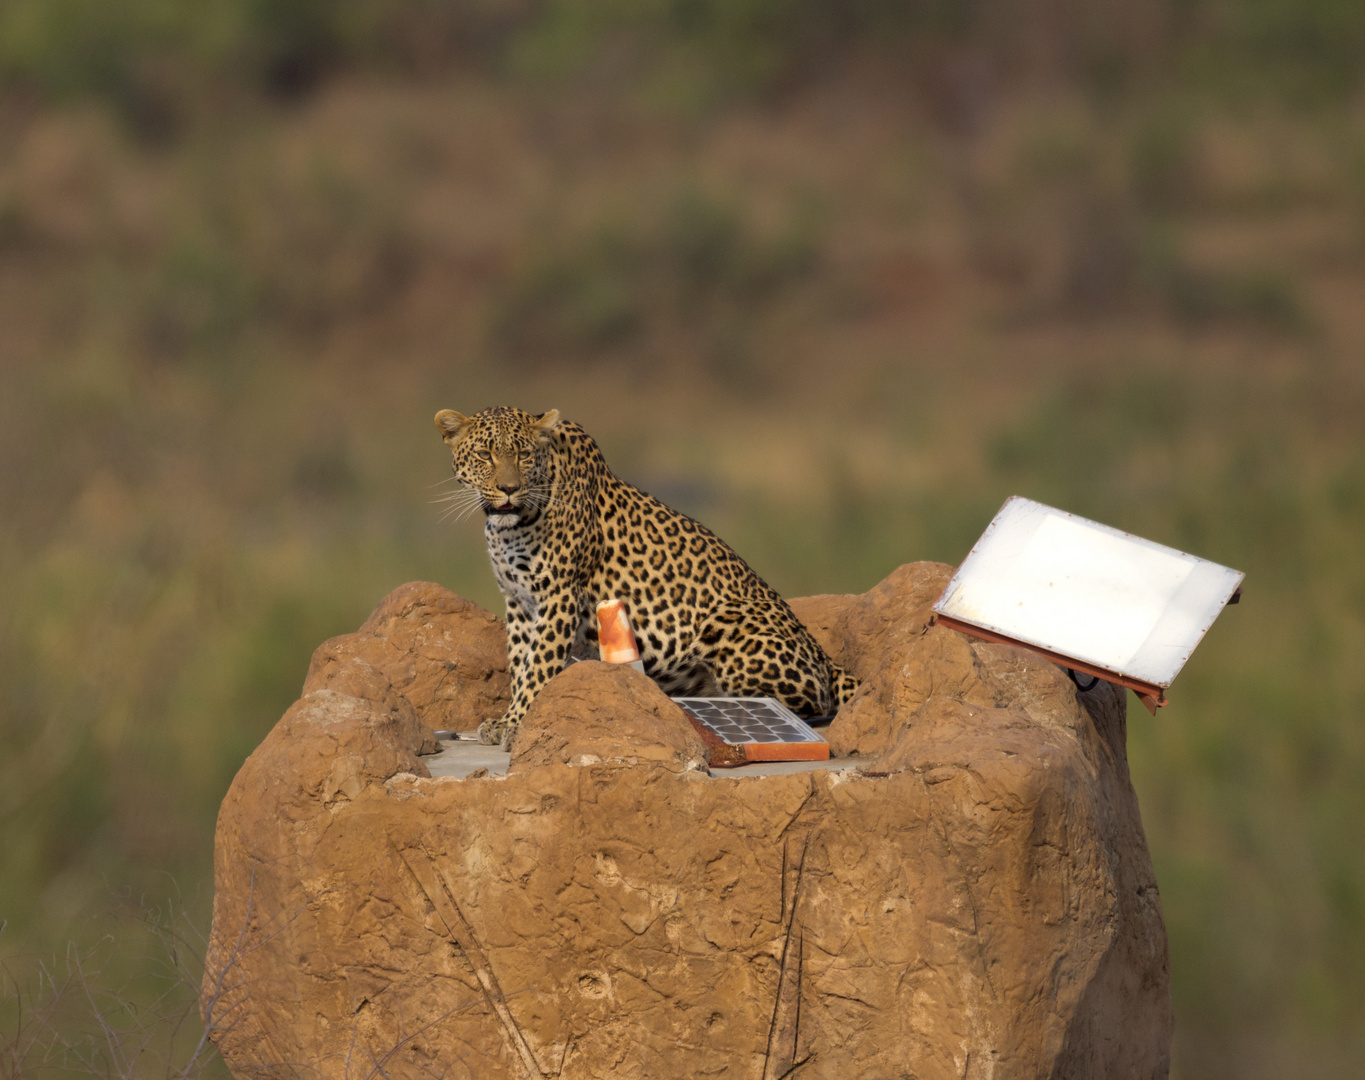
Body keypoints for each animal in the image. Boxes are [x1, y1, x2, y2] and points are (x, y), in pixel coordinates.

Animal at [431, 401, 857, 748]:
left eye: (522, 455)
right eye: (485, 454)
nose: (508, 489)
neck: (510, 526)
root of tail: (825, 660)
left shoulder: (558, 594)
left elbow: (539, 664)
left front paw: (519, 721)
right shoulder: (519, 599)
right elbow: (520, 661)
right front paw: (507, 720)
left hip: (729, 622)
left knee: (809, 703)